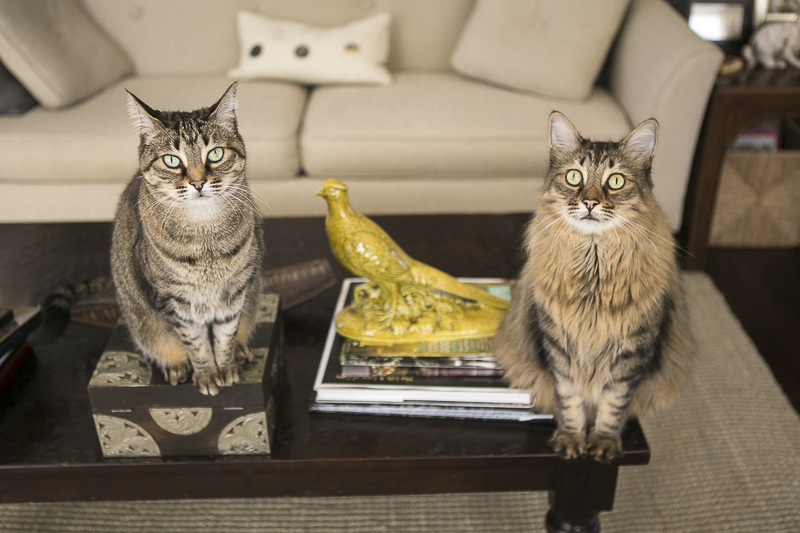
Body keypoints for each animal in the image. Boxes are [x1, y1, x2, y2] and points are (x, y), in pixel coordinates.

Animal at [109, 81, 264, 392]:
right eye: (171, 160)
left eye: (215, 154)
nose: (198, 182)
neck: (205, 239)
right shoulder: (175, 302)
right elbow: (196, 344)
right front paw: (207, 374)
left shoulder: (236, 292)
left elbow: (225, 335)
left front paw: (226, 366)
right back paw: (177, 366)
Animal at [494, 112, 692, 462]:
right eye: (575, 176)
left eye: (616, 181)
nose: (589, 202)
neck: (594, 268)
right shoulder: (559, 345)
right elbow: (569, 400)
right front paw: (572, 438)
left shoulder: (633, 349)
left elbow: (614, 404)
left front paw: (602, 441)